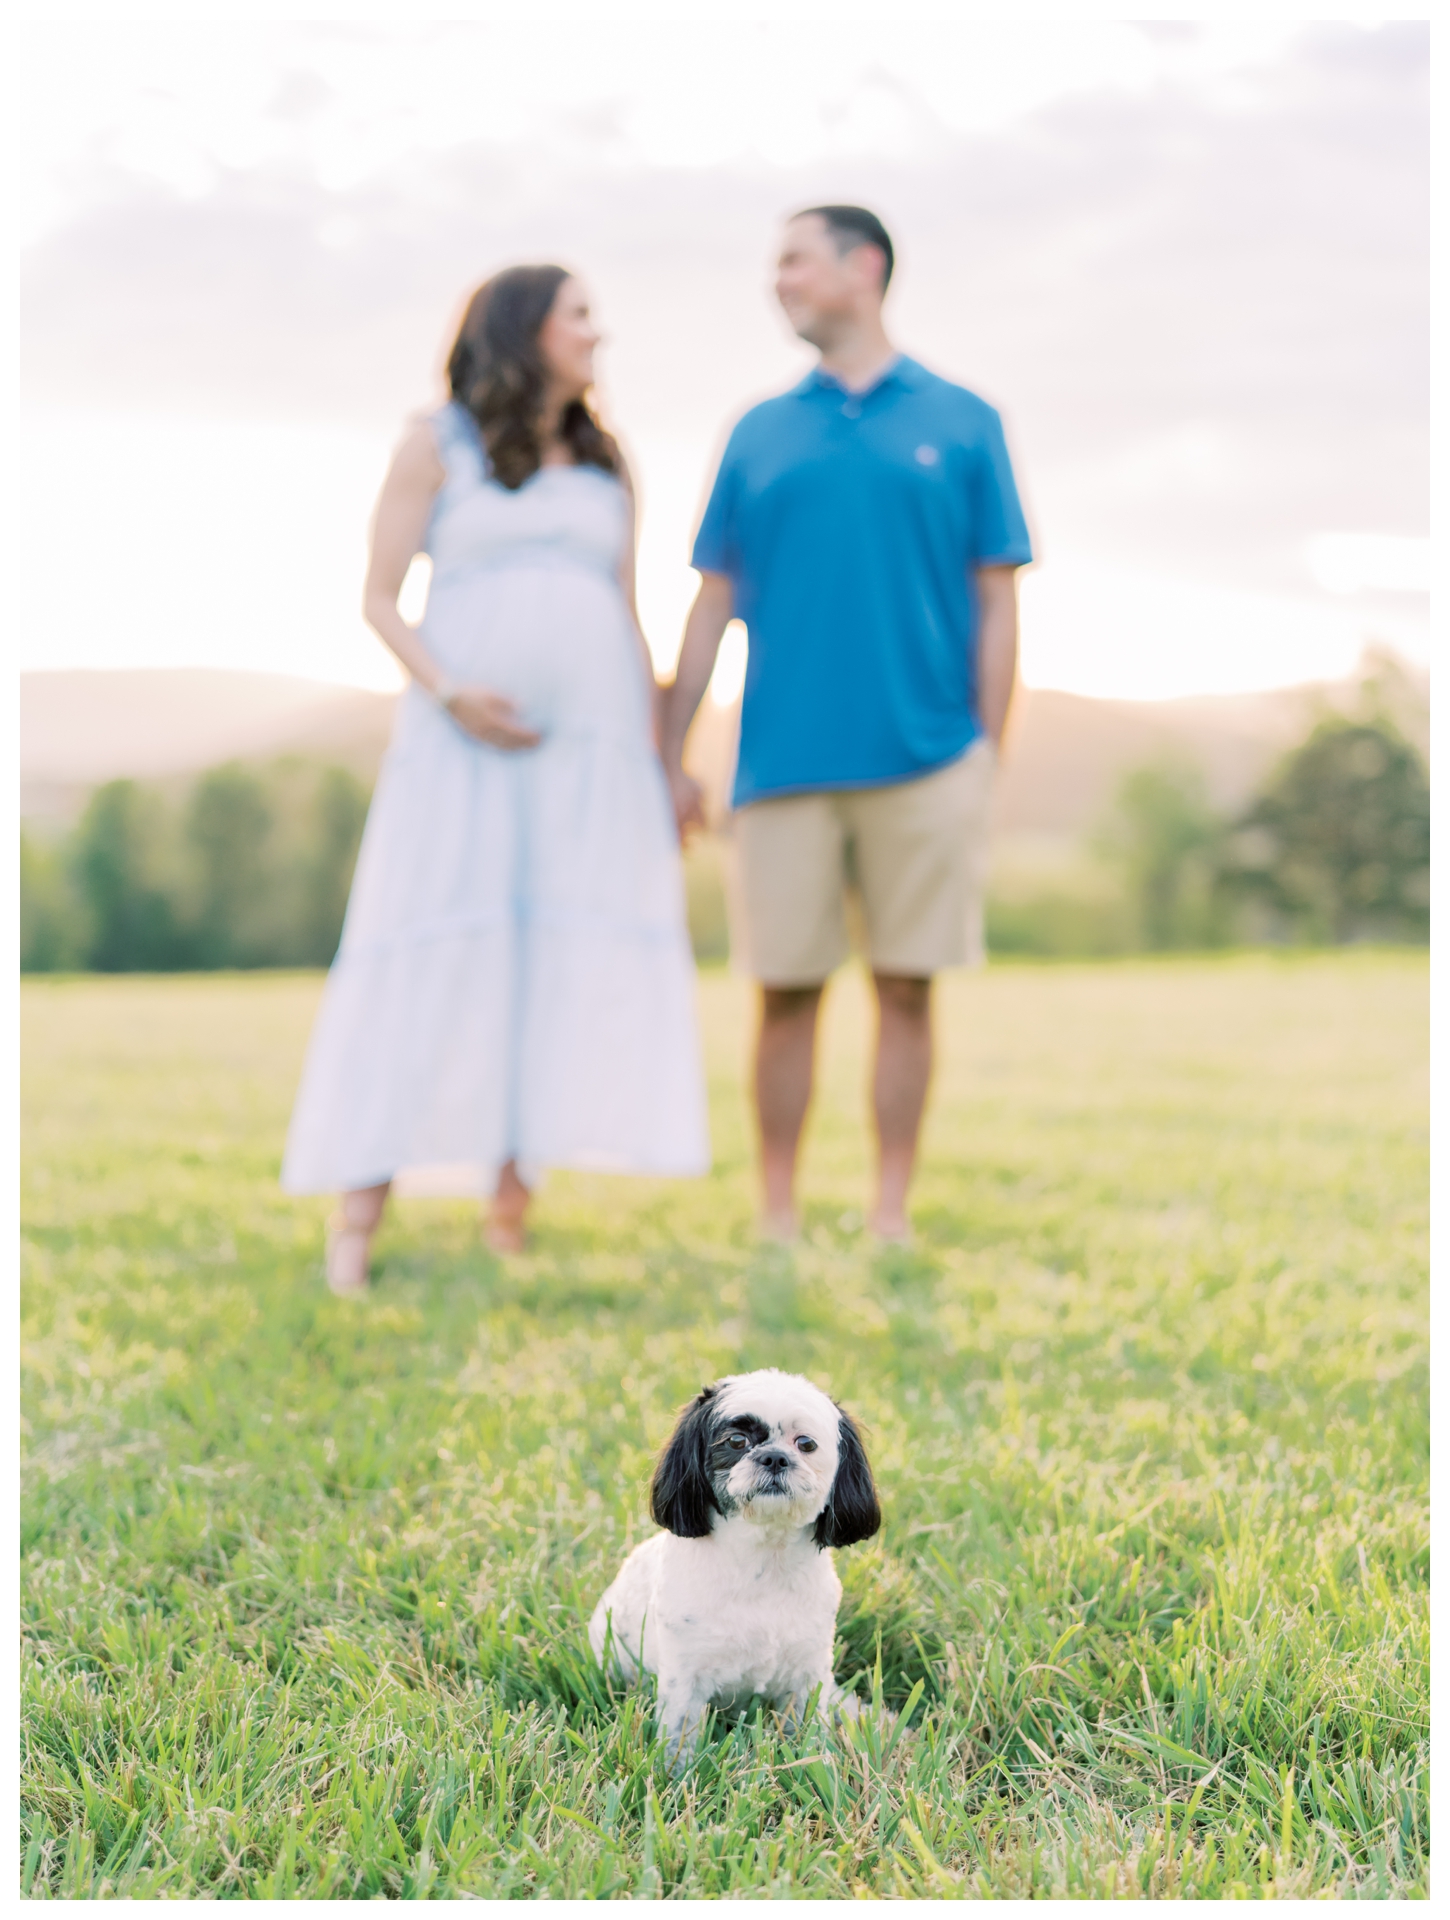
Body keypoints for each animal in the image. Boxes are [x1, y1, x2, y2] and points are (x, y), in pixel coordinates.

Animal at [583, 1367, 879, 1766]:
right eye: (736, 1440)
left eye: (806, 1444)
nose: (774, 1458)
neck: (763, 1563)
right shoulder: (685, 1674)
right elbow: (679, 1733)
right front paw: (674, 1773)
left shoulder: (808, 1673)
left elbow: (807, 1733)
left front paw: (810, 1765)